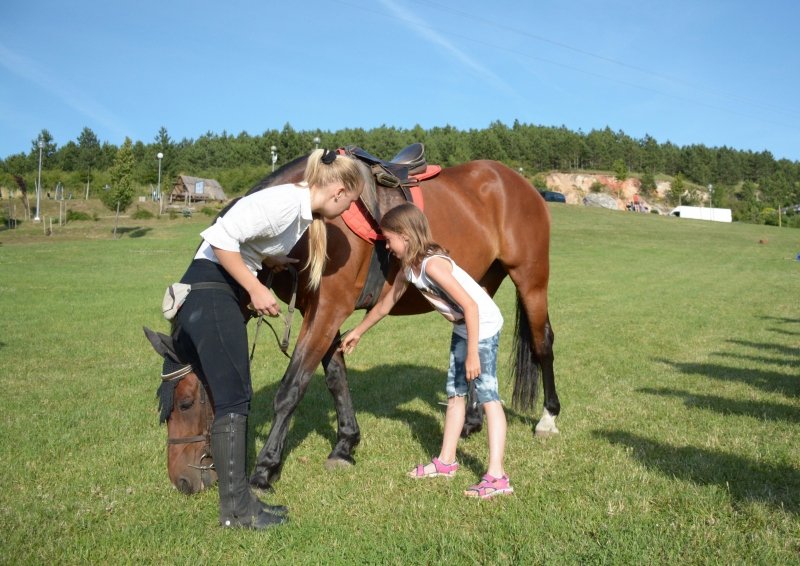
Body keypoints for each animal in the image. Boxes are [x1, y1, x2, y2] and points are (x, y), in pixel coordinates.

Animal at [153, 152, 560, 496]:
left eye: (186, 403)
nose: (182, 481)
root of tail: (515, 180)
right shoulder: (319, 311)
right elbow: (336, 377)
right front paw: (345, 444)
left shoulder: (329, 308)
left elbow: (292, 389)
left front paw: (265, 469)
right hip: (477, 284)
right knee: (473, 341)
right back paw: (472, 421)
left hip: (531, 279)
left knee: (543, 342)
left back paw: (547, 419)